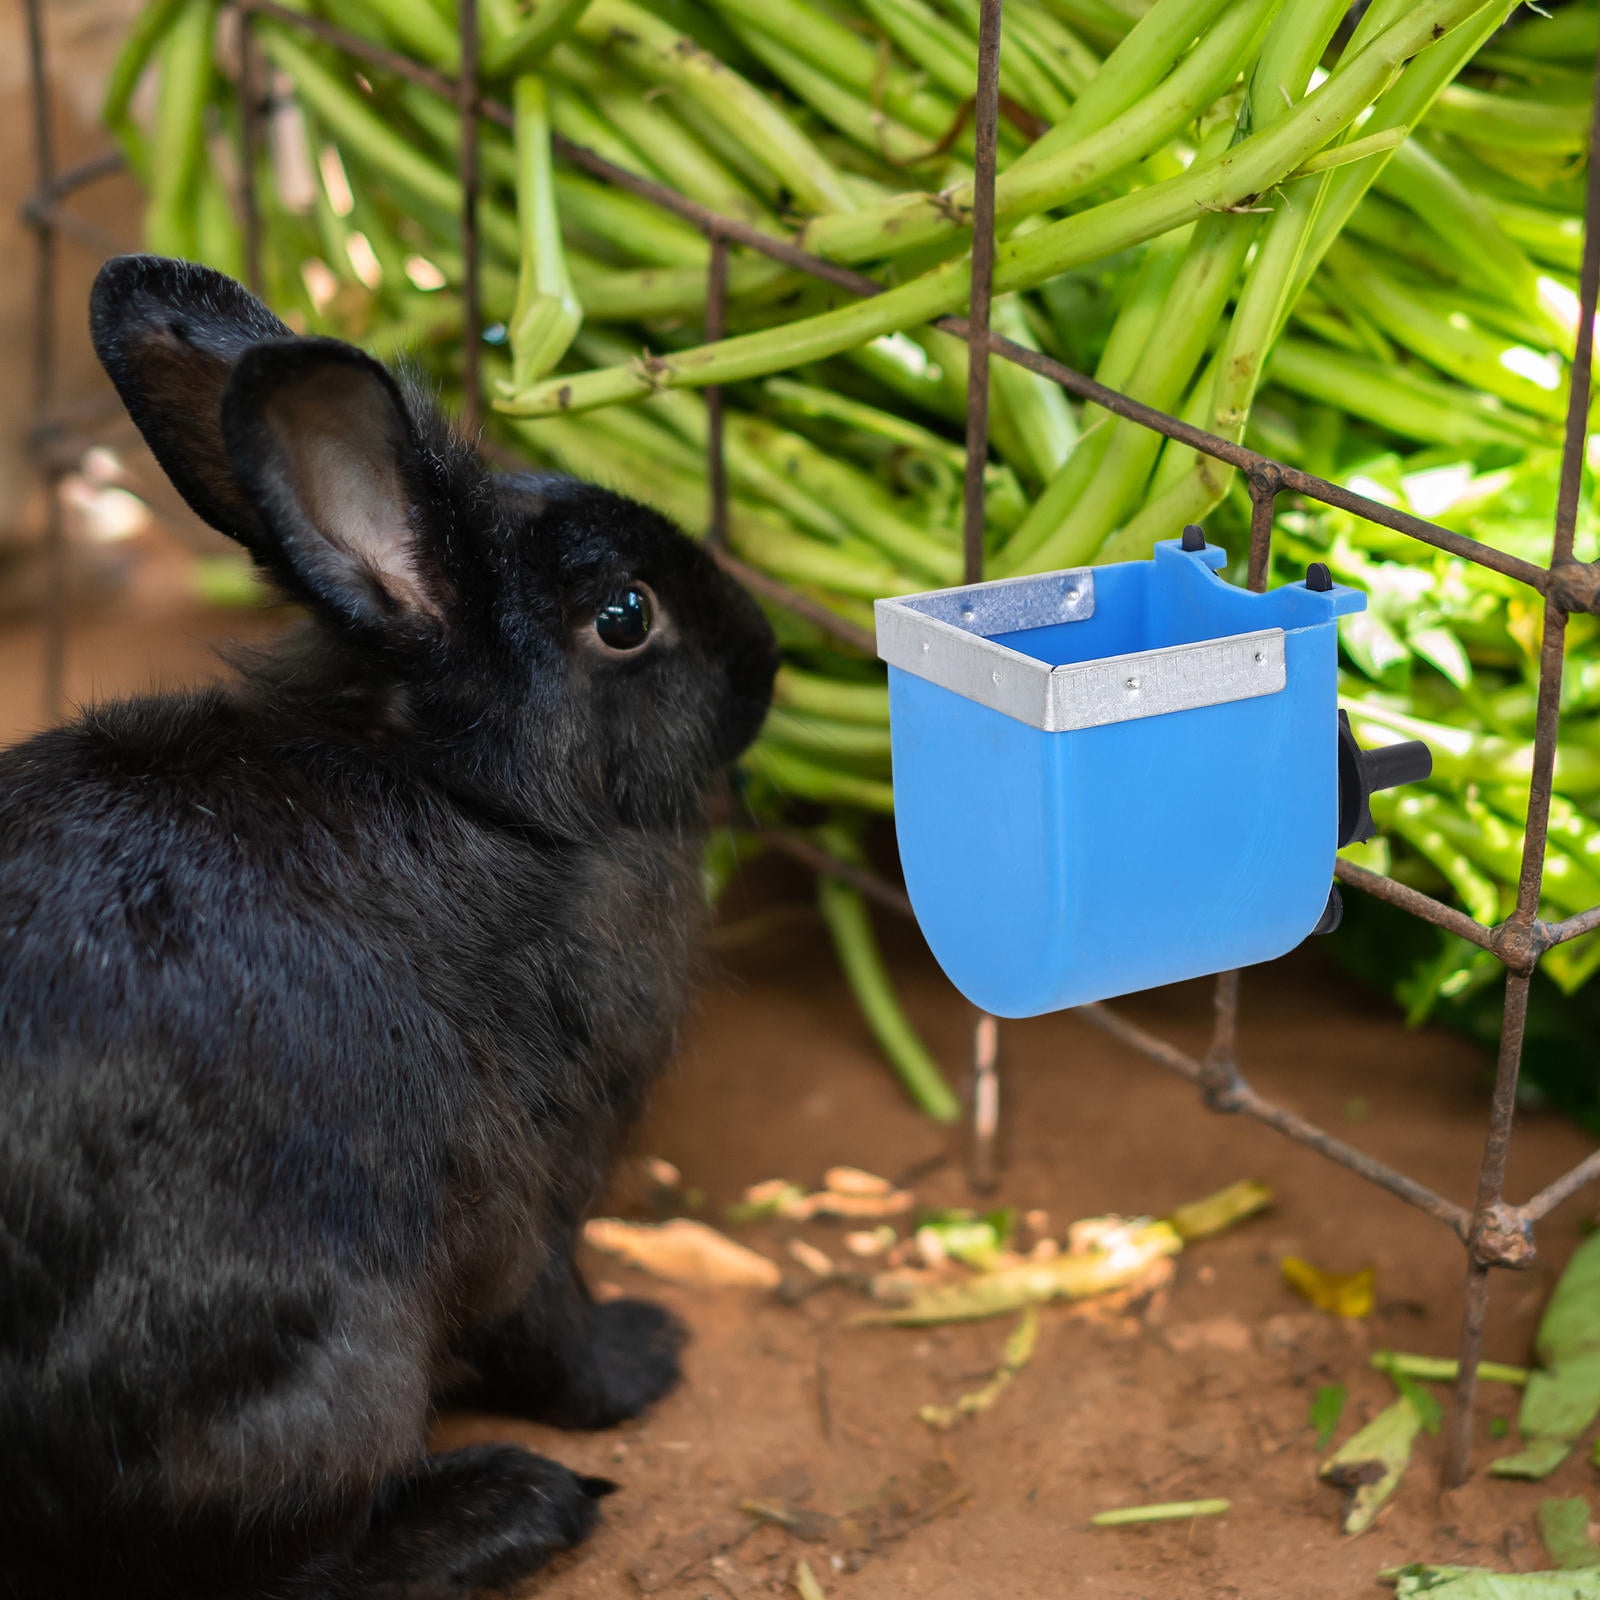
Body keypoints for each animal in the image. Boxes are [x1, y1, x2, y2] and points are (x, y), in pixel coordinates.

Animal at [0, 255, 778, 1600]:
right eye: (625, 616)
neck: (473, 791)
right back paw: (517, 1506)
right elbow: (548, 1319)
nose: (769, 658)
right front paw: (646, 1358)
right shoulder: (524, 1181)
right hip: (330, 1370)